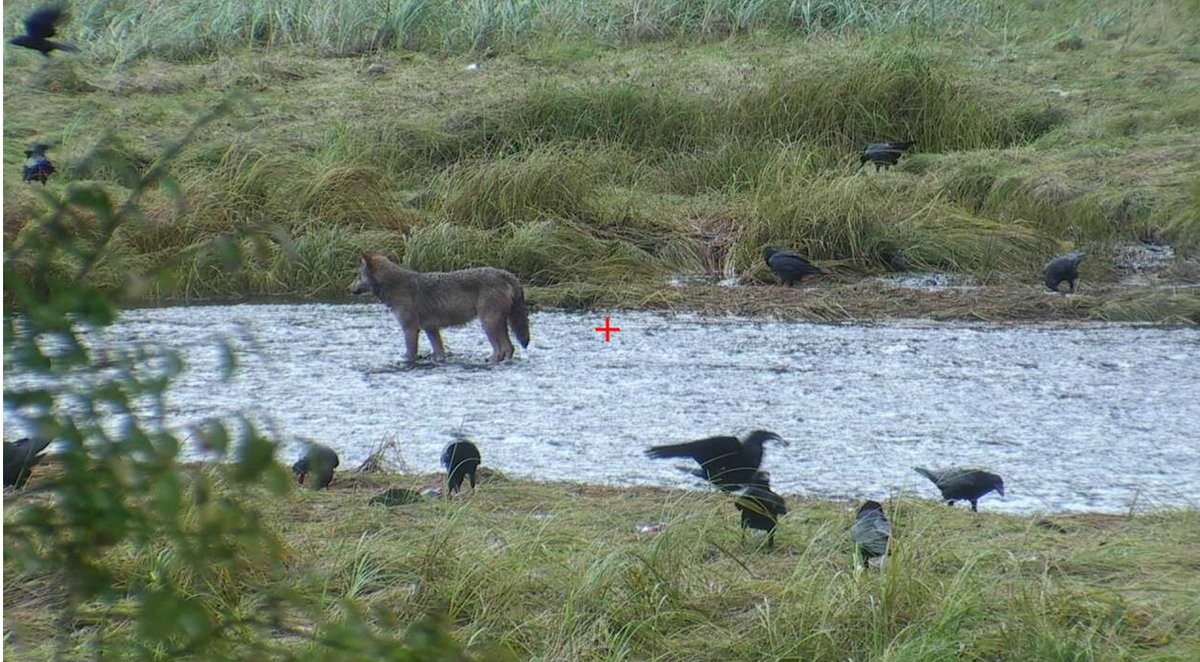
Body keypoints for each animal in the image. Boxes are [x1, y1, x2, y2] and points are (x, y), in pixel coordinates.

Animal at [349, 252, 530, 366]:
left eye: (358, 275)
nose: (348, 288)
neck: (395, 285)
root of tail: (506, 274)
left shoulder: (410, 329)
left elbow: (410, 355)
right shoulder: (431, 329)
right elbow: (439, 354)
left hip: (488, 324)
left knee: (506, 348)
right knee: (506, 348)